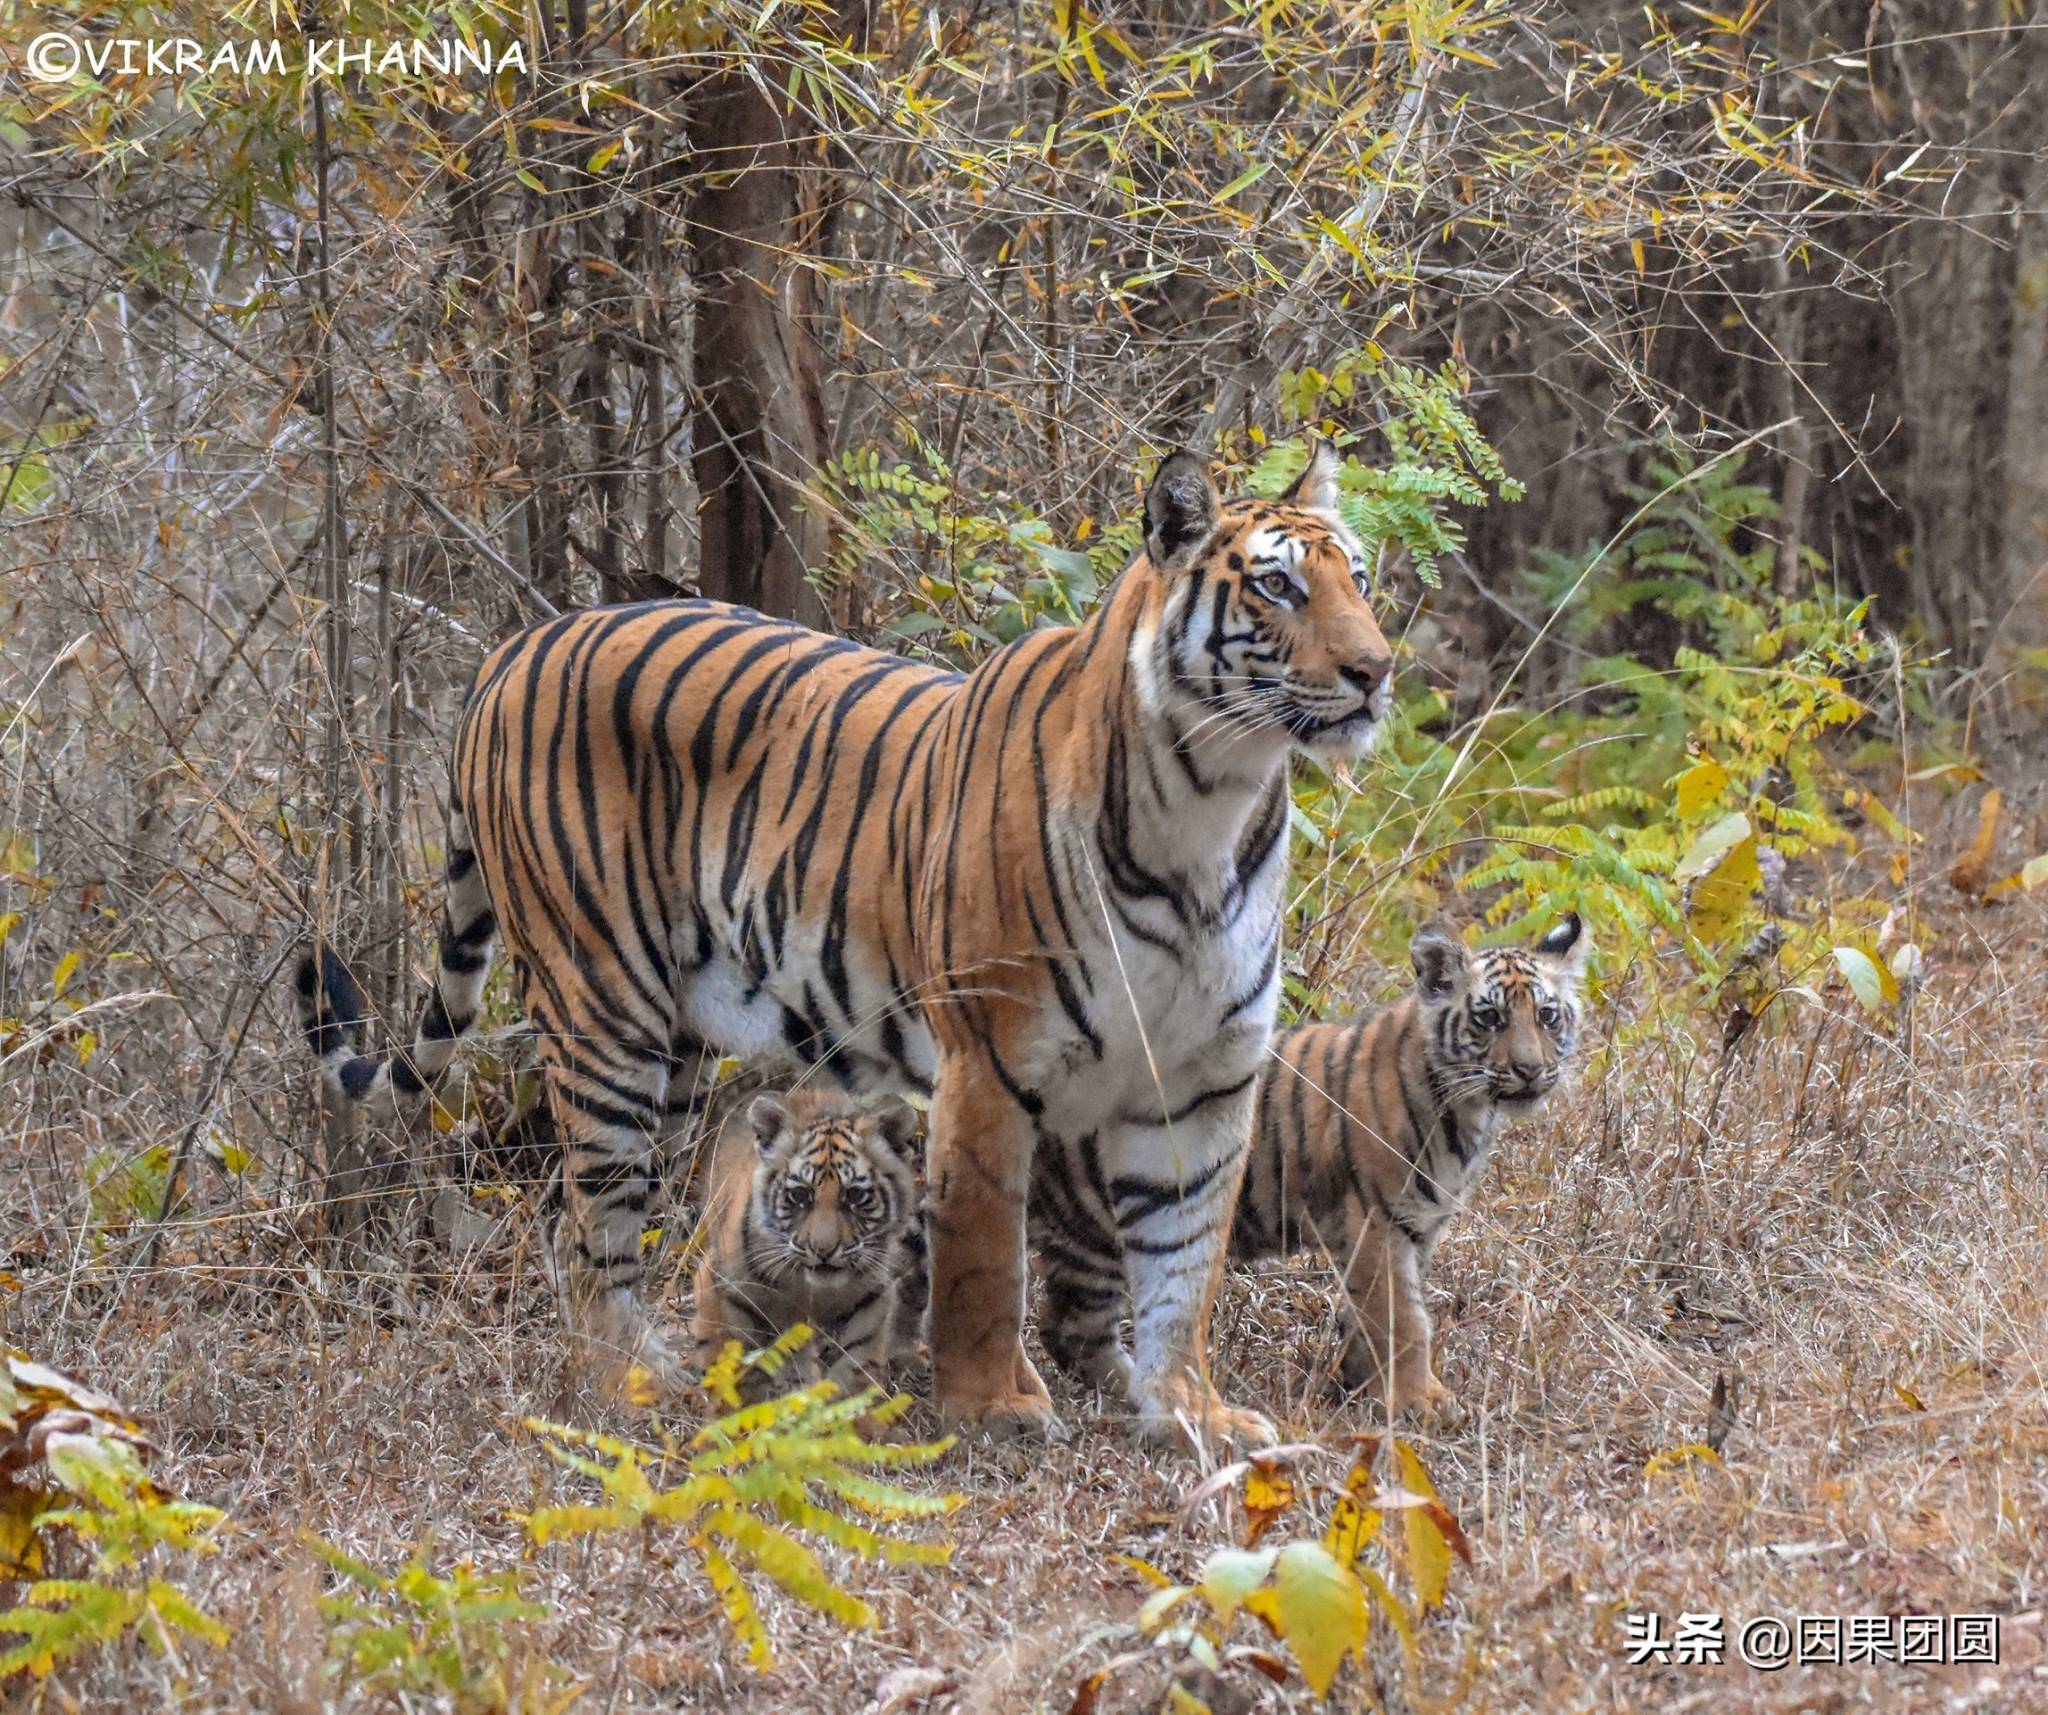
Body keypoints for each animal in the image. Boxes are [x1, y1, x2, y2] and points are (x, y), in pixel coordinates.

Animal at [299, 442, 1392, 1442]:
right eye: (1278, 584)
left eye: (1358, 577)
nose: (1377, 670)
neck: (1210, 807)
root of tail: (518, 644)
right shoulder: (990, 1063)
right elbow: (985, 1256)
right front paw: (993, 1405)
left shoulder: (1203, 1078)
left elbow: (1183, 1263)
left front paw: (1189, 1408)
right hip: (599, 1007)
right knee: (588, 1222)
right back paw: (629, 1384)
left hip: (677, 1047)